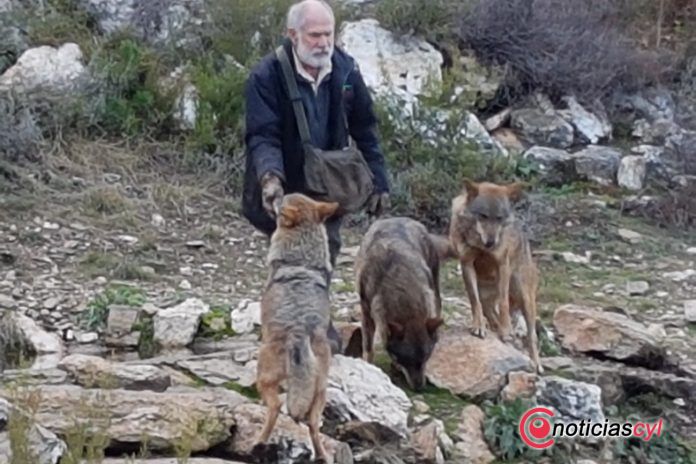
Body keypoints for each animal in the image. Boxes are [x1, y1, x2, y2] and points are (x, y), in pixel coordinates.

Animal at [254, 191, 342, 460]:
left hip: (263, 377)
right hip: (321, 391)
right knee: (313, 424)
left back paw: (258, 443)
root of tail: (298, 332)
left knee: (275, 407)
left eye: (281, 201)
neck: (302, 259)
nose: (274, 193)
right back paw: (323, 456)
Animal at [354, 216, 456, 390]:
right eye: (406, 360)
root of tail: (400, 218)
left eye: (426, 357)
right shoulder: (367, 313)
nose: (420, 387)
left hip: (435, 288)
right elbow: (368, 348)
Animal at [452, 179, 544, 376]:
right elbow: (474, 302)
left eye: (500, 218)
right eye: (483, 216)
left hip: (525, 299)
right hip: (486, 295)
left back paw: (535, 363)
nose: (491, 242)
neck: (481, 248)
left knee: (531, 336)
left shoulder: (502, 265)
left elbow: (503, 304)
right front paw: (478, 327)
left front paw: (506, 330)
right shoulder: (466, 264)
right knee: (488, 310)